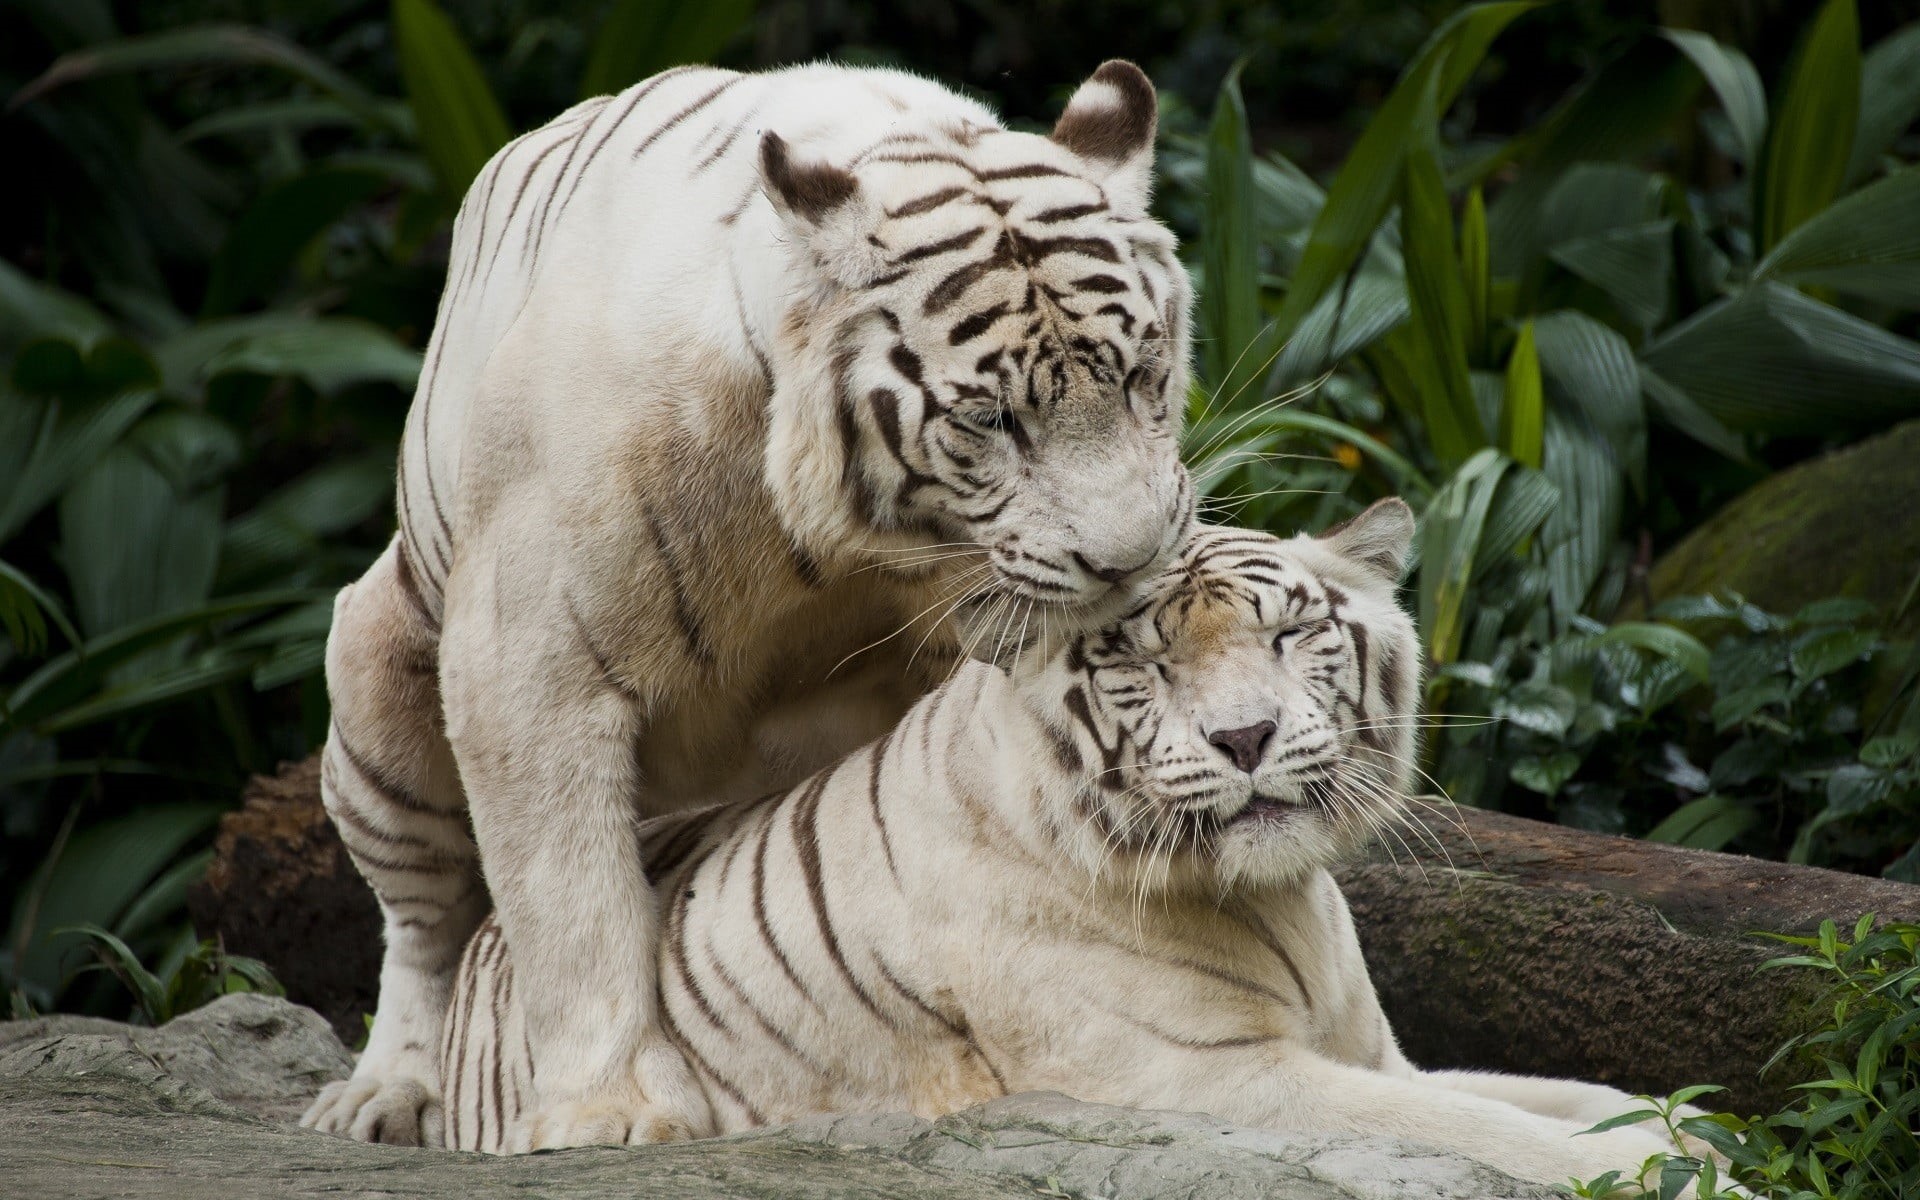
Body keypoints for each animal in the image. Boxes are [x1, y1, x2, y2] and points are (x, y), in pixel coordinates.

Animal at [301, 59, 1196, 1150]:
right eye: (991, 418)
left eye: (1144, 376)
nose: (1131, 559)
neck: (838, 539)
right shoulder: (529, 663)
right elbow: (571, 904)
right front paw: (611, 1113)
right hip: (379, 673)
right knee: (424, 923)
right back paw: (389, 1095)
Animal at [435, 502, 1688, 1191]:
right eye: (1141, 662)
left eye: (1291, 633)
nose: (1245, 736)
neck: (1275, 897)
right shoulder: (1207, 1079)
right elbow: (1480, 1131)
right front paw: (1664, 1172)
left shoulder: (1378, 1056)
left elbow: (1563, 1095)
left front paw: (1691, 1133)